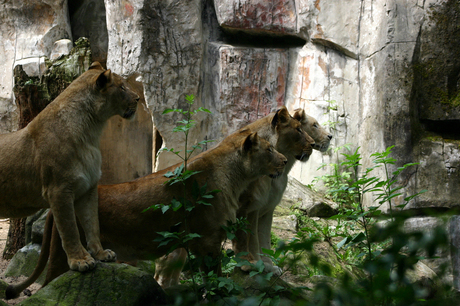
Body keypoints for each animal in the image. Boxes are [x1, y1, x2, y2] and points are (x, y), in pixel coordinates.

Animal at [0, 61, 138, 272]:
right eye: (122, 87)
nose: (138, 98)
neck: (91, 131)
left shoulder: (88, 188)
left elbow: (92, 224)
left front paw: (101, 253)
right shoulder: (59, 190)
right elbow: (70, 229)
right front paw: (80, 261)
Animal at [6, 128, 288, 298]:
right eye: (269, 149)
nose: (285, 160)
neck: (236, 176)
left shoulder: (199, 242)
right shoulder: (208, 239)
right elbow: (215, 275)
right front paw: (221, 294)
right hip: (62, 255)